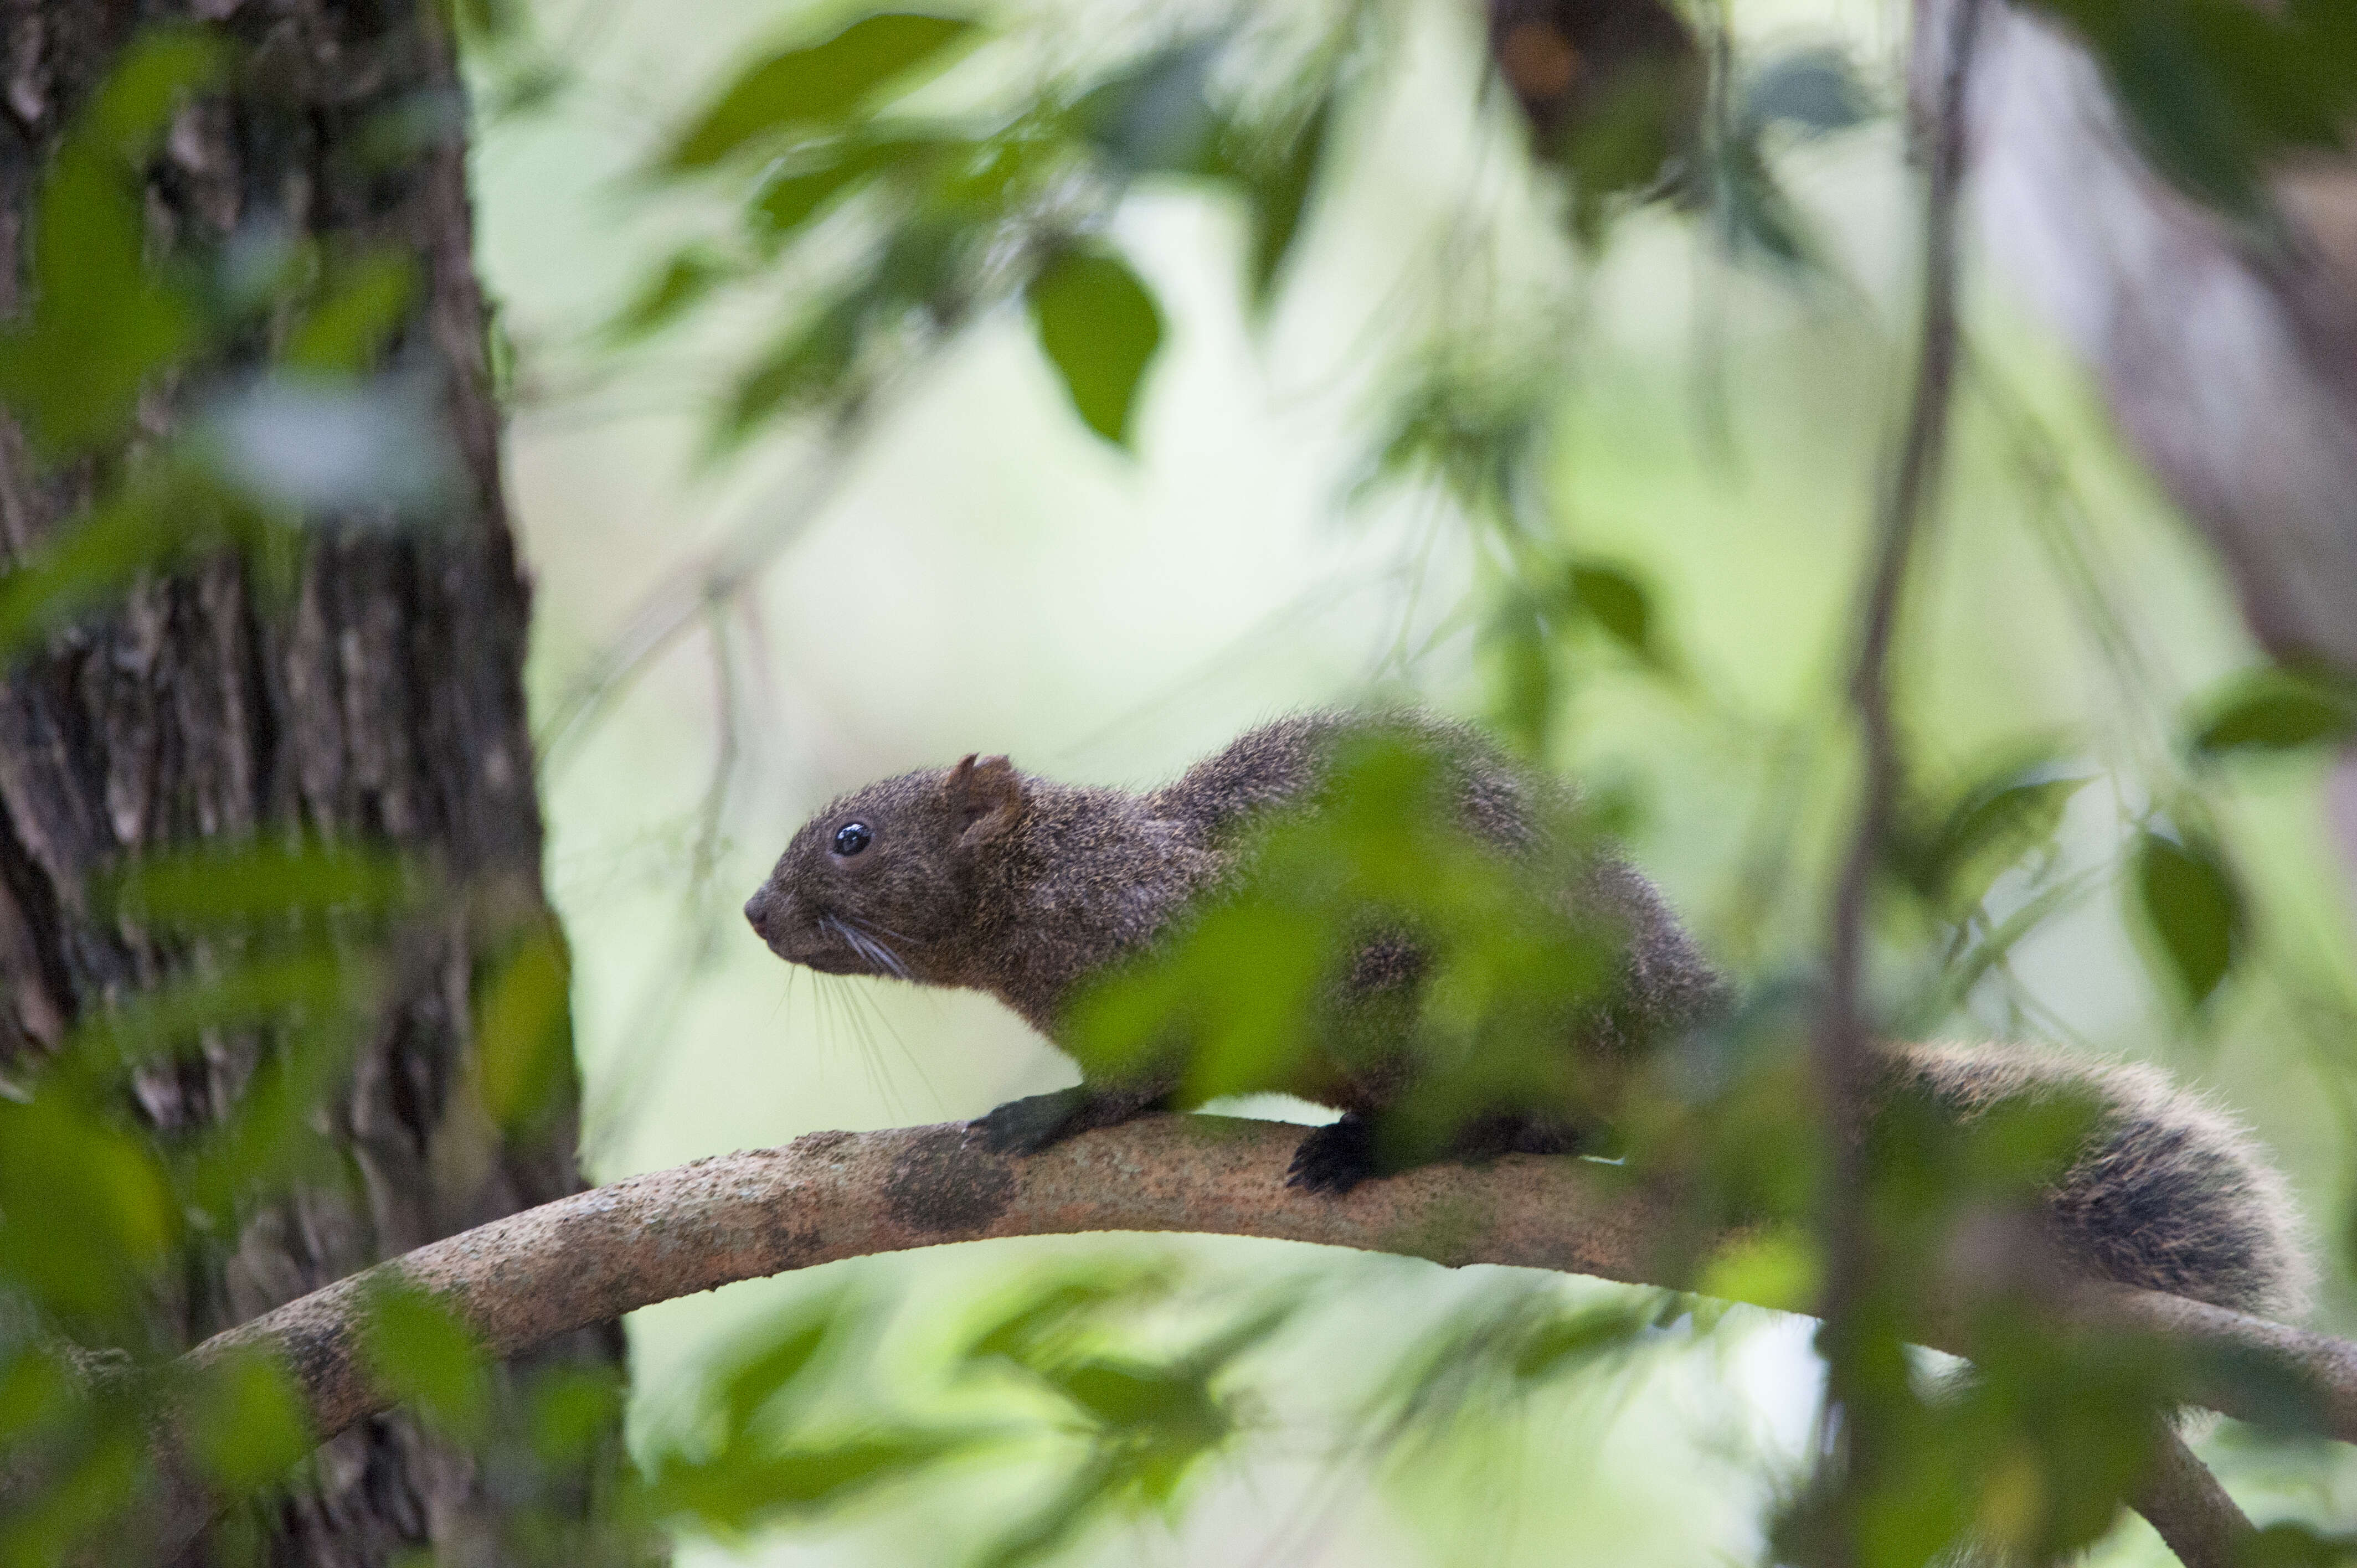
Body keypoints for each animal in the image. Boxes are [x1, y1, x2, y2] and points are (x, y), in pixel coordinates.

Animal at [744, 707, 2309, 1320]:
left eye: (854, 842)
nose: (755, 913)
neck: (1066, 884)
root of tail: (1679, 1015)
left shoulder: (1178, 969)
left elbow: (1141, 1085)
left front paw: (1048, 1112)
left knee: (1520, 1115)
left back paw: (1380, 1146)